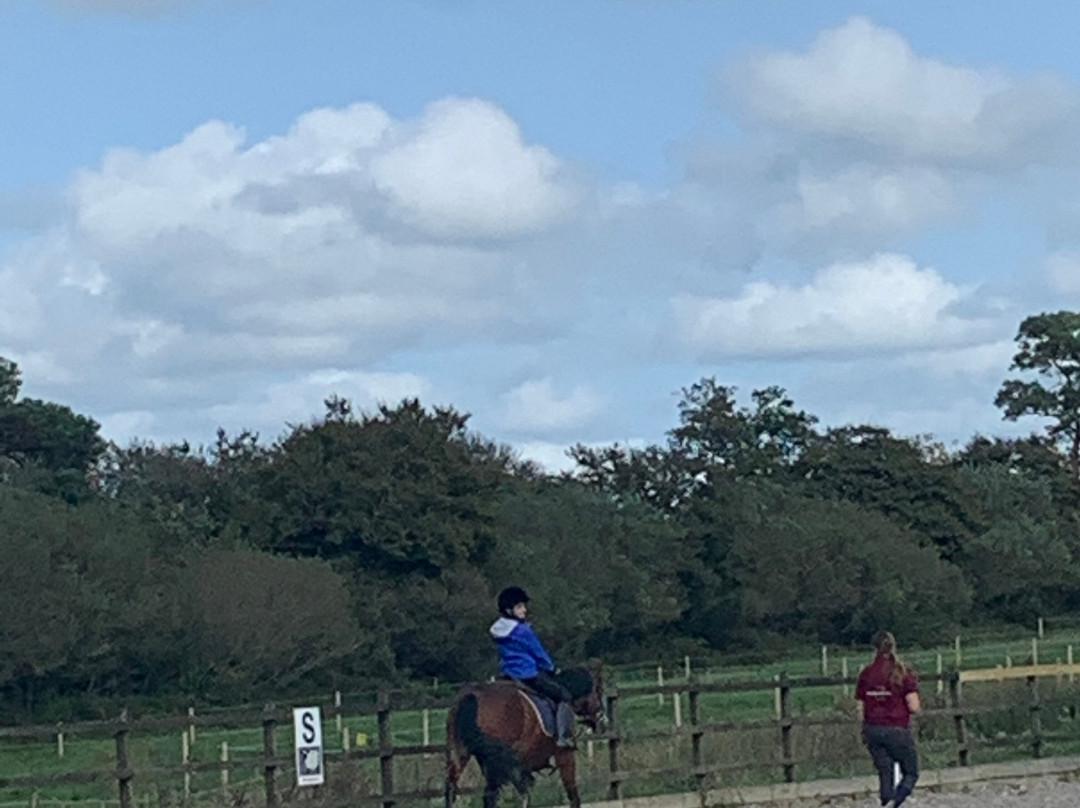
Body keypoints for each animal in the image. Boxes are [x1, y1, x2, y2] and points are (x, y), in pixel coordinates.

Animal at [444, 663, 607, 808]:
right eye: (599, 690)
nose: (603, 721)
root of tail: (472, 695)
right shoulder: (565, 757)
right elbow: (573, 796)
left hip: (462, 754)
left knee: (453, 788)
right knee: (492, 794)